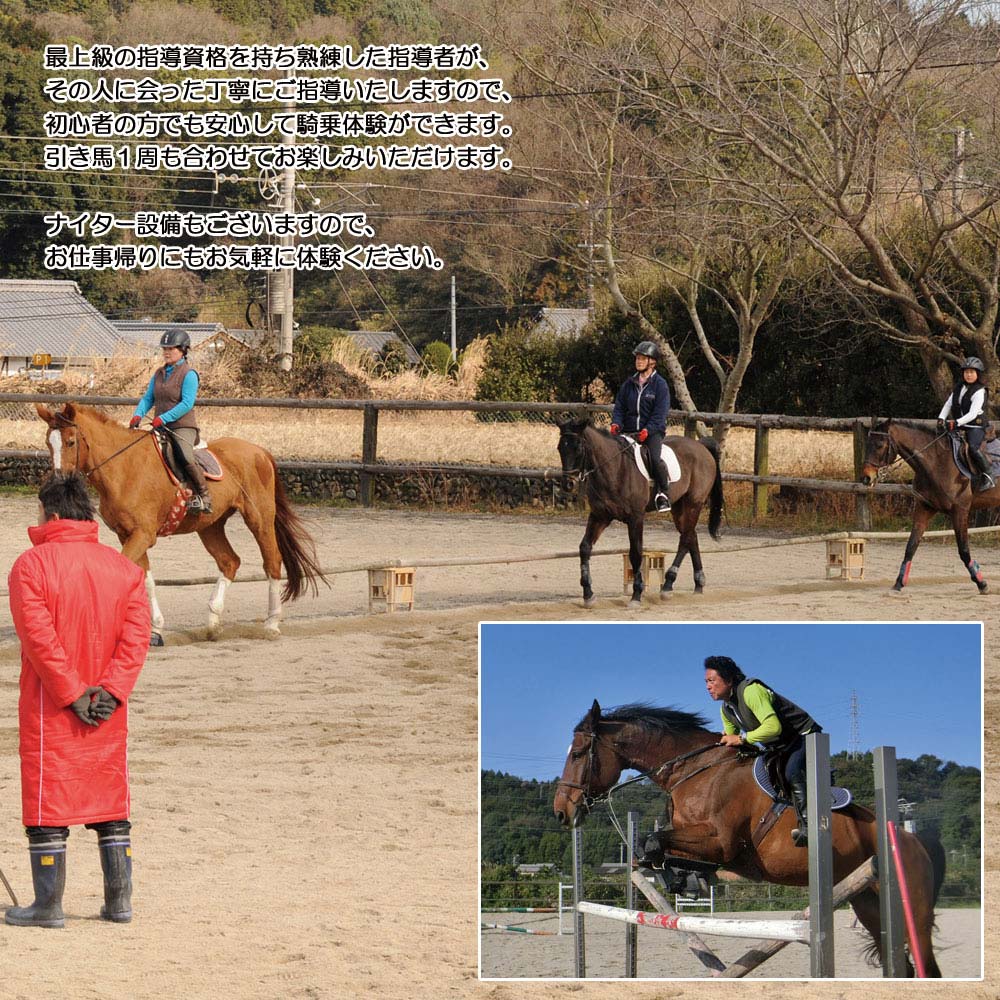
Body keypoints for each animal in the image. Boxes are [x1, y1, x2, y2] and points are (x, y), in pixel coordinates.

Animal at [36, 402, 328, 644]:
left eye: (71, 442)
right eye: (49, 443)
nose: (58, 481)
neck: (122, 468)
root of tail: (260, 451)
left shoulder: (142, 535)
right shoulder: (128, 534)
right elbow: (145, 579)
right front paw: (155, 629)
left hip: (259, 520)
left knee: (272, 563)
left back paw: (271, 624)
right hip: (210, 527)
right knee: (229, 562)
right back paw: (213, 624)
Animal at [556, 704, 944, 976]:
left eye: (577, 754)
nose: (562, 811)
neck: (693, 772)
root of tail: (912, 839)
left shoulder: (722, 842)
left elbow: (652, 843)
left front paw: (689, 881)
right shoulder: (697, 841)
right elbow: (648, 849)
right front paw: (686, 879)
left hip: (912, 909)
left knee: (926, 963)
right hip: (867, 903)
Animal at [560, 418, 724, 604]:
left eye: (578, 448)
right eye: (560, 448)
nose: (568, 484)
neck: (614, 468)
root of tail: (701, 446)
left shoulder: (636, 517)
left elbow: (636, 552)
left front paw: (636, 594)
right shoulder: (600, 516)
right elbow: (585, 547)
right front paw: (588, 594)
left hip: (693, 503)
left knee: (686, 537)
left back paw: (668, 585)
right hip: (679, 506)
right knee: (691, 536)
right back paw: (697, 584)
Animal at [860, 416, 1000, 588]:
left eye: (879, 445)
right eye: (867, 444)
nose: (867, 477)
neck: (937, 463)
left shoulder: (960, 511)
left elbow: (964, 550)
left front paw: (981, 583)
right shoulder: (925, 508)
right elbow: (911, 546)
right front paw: (899, 582)